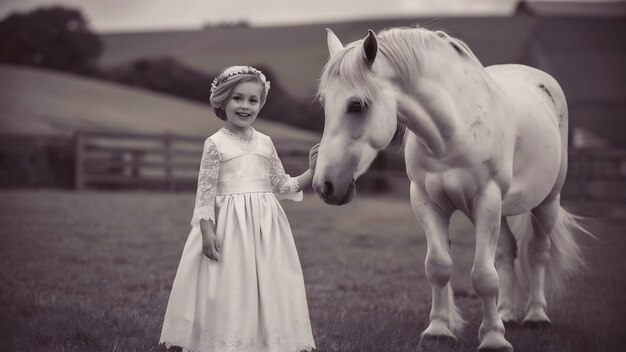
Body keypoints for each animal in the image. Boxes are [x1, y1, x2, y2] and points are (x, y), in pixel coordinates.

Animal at [314, 27, 588, 352]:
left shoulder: (486, 201)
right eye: (325, 104)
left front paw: (493, 339)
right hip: (503, 211)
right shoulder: (426, 201)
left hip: (547, 203)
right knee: (506, 253)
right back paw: (507, 313)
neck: (452, 132)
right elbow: (438, 266)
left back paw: (536, 315)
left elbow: (483, 276)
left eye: (356, 105)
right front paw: (439, 330)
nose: (325, 186)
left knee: (537, 253)